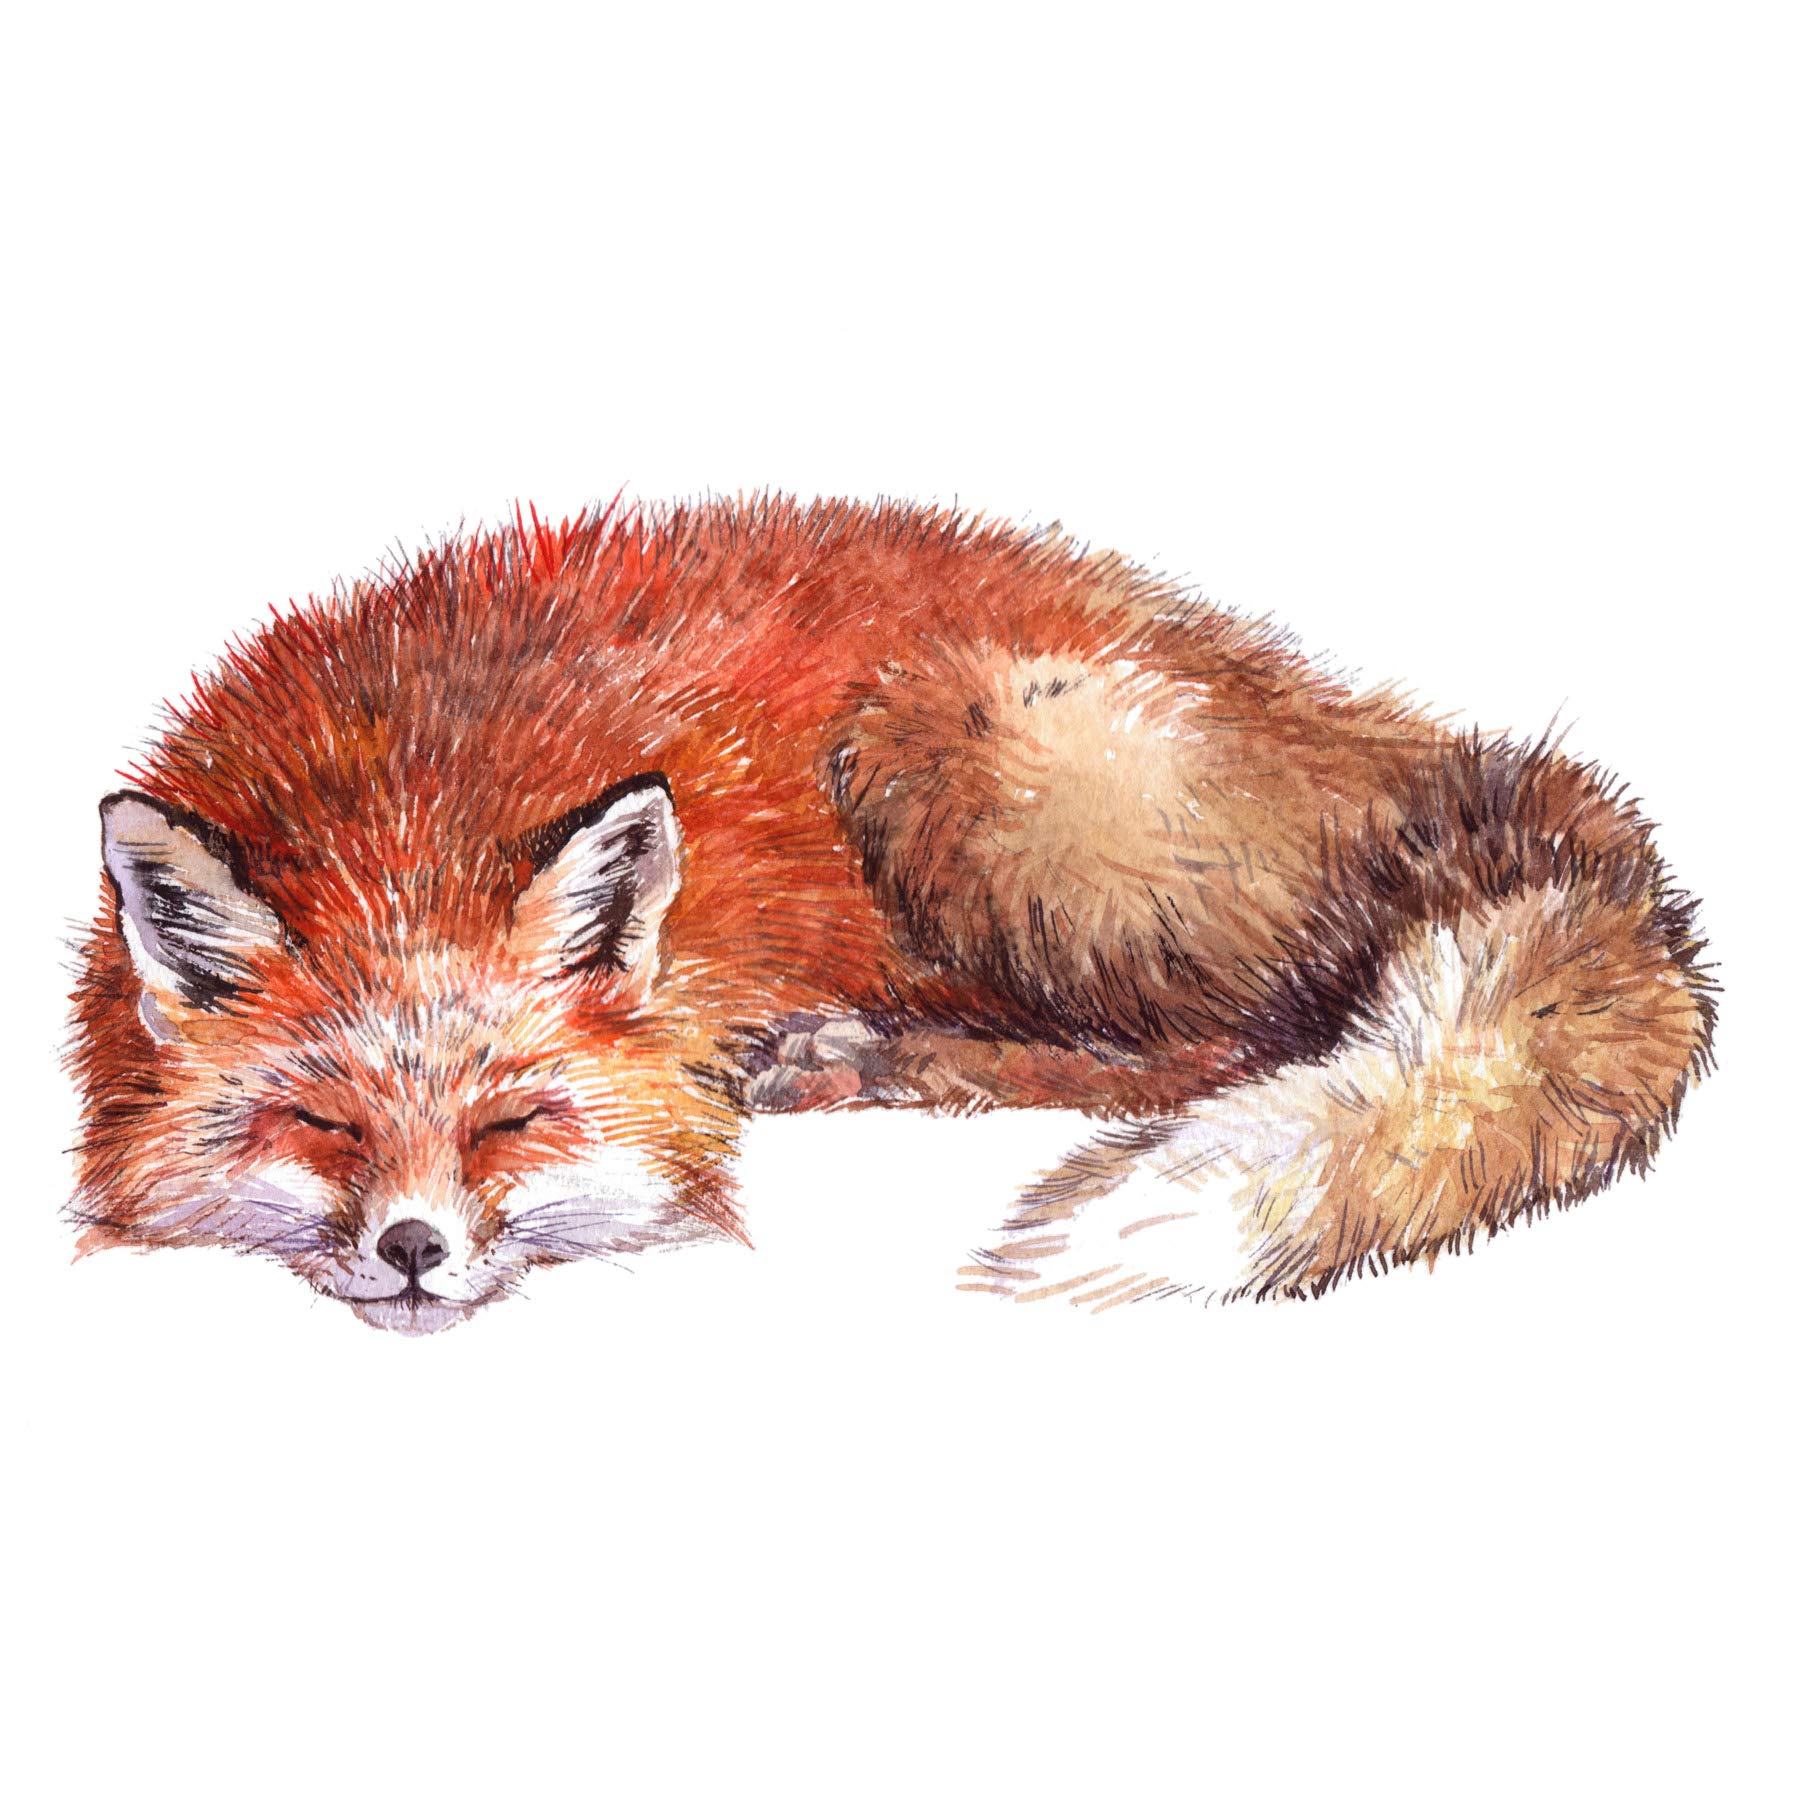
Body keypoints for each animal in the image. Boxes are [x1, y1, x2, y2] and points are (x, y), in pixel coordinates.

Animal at [69, 496, 1716, 1332]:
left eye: (514, 1121)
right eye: (321, 1121)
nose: (412, 1247)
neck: (410, 801)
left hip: (959, 749)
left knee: (1235, 1041)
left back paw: (884, 1059)